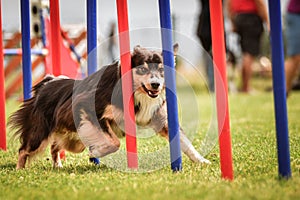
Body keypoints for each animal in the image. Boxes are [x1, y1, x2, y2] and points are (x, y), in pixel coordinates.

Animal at [9, 44, 211, 169]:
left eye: (162, 70)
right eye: (143, 69)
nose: (156, 85)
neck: (138, 93)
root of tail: (47, 83)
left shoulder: (162, 120)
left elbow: (185, 142)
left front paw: (202, 161)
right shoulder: (89, 107)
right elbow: (114, 142)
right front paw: (96, 151)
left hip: (71, 138)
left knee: (54, 146)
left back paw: (57, 166)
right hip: (40, 133)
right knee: (24, 149)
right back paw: (20, 171)